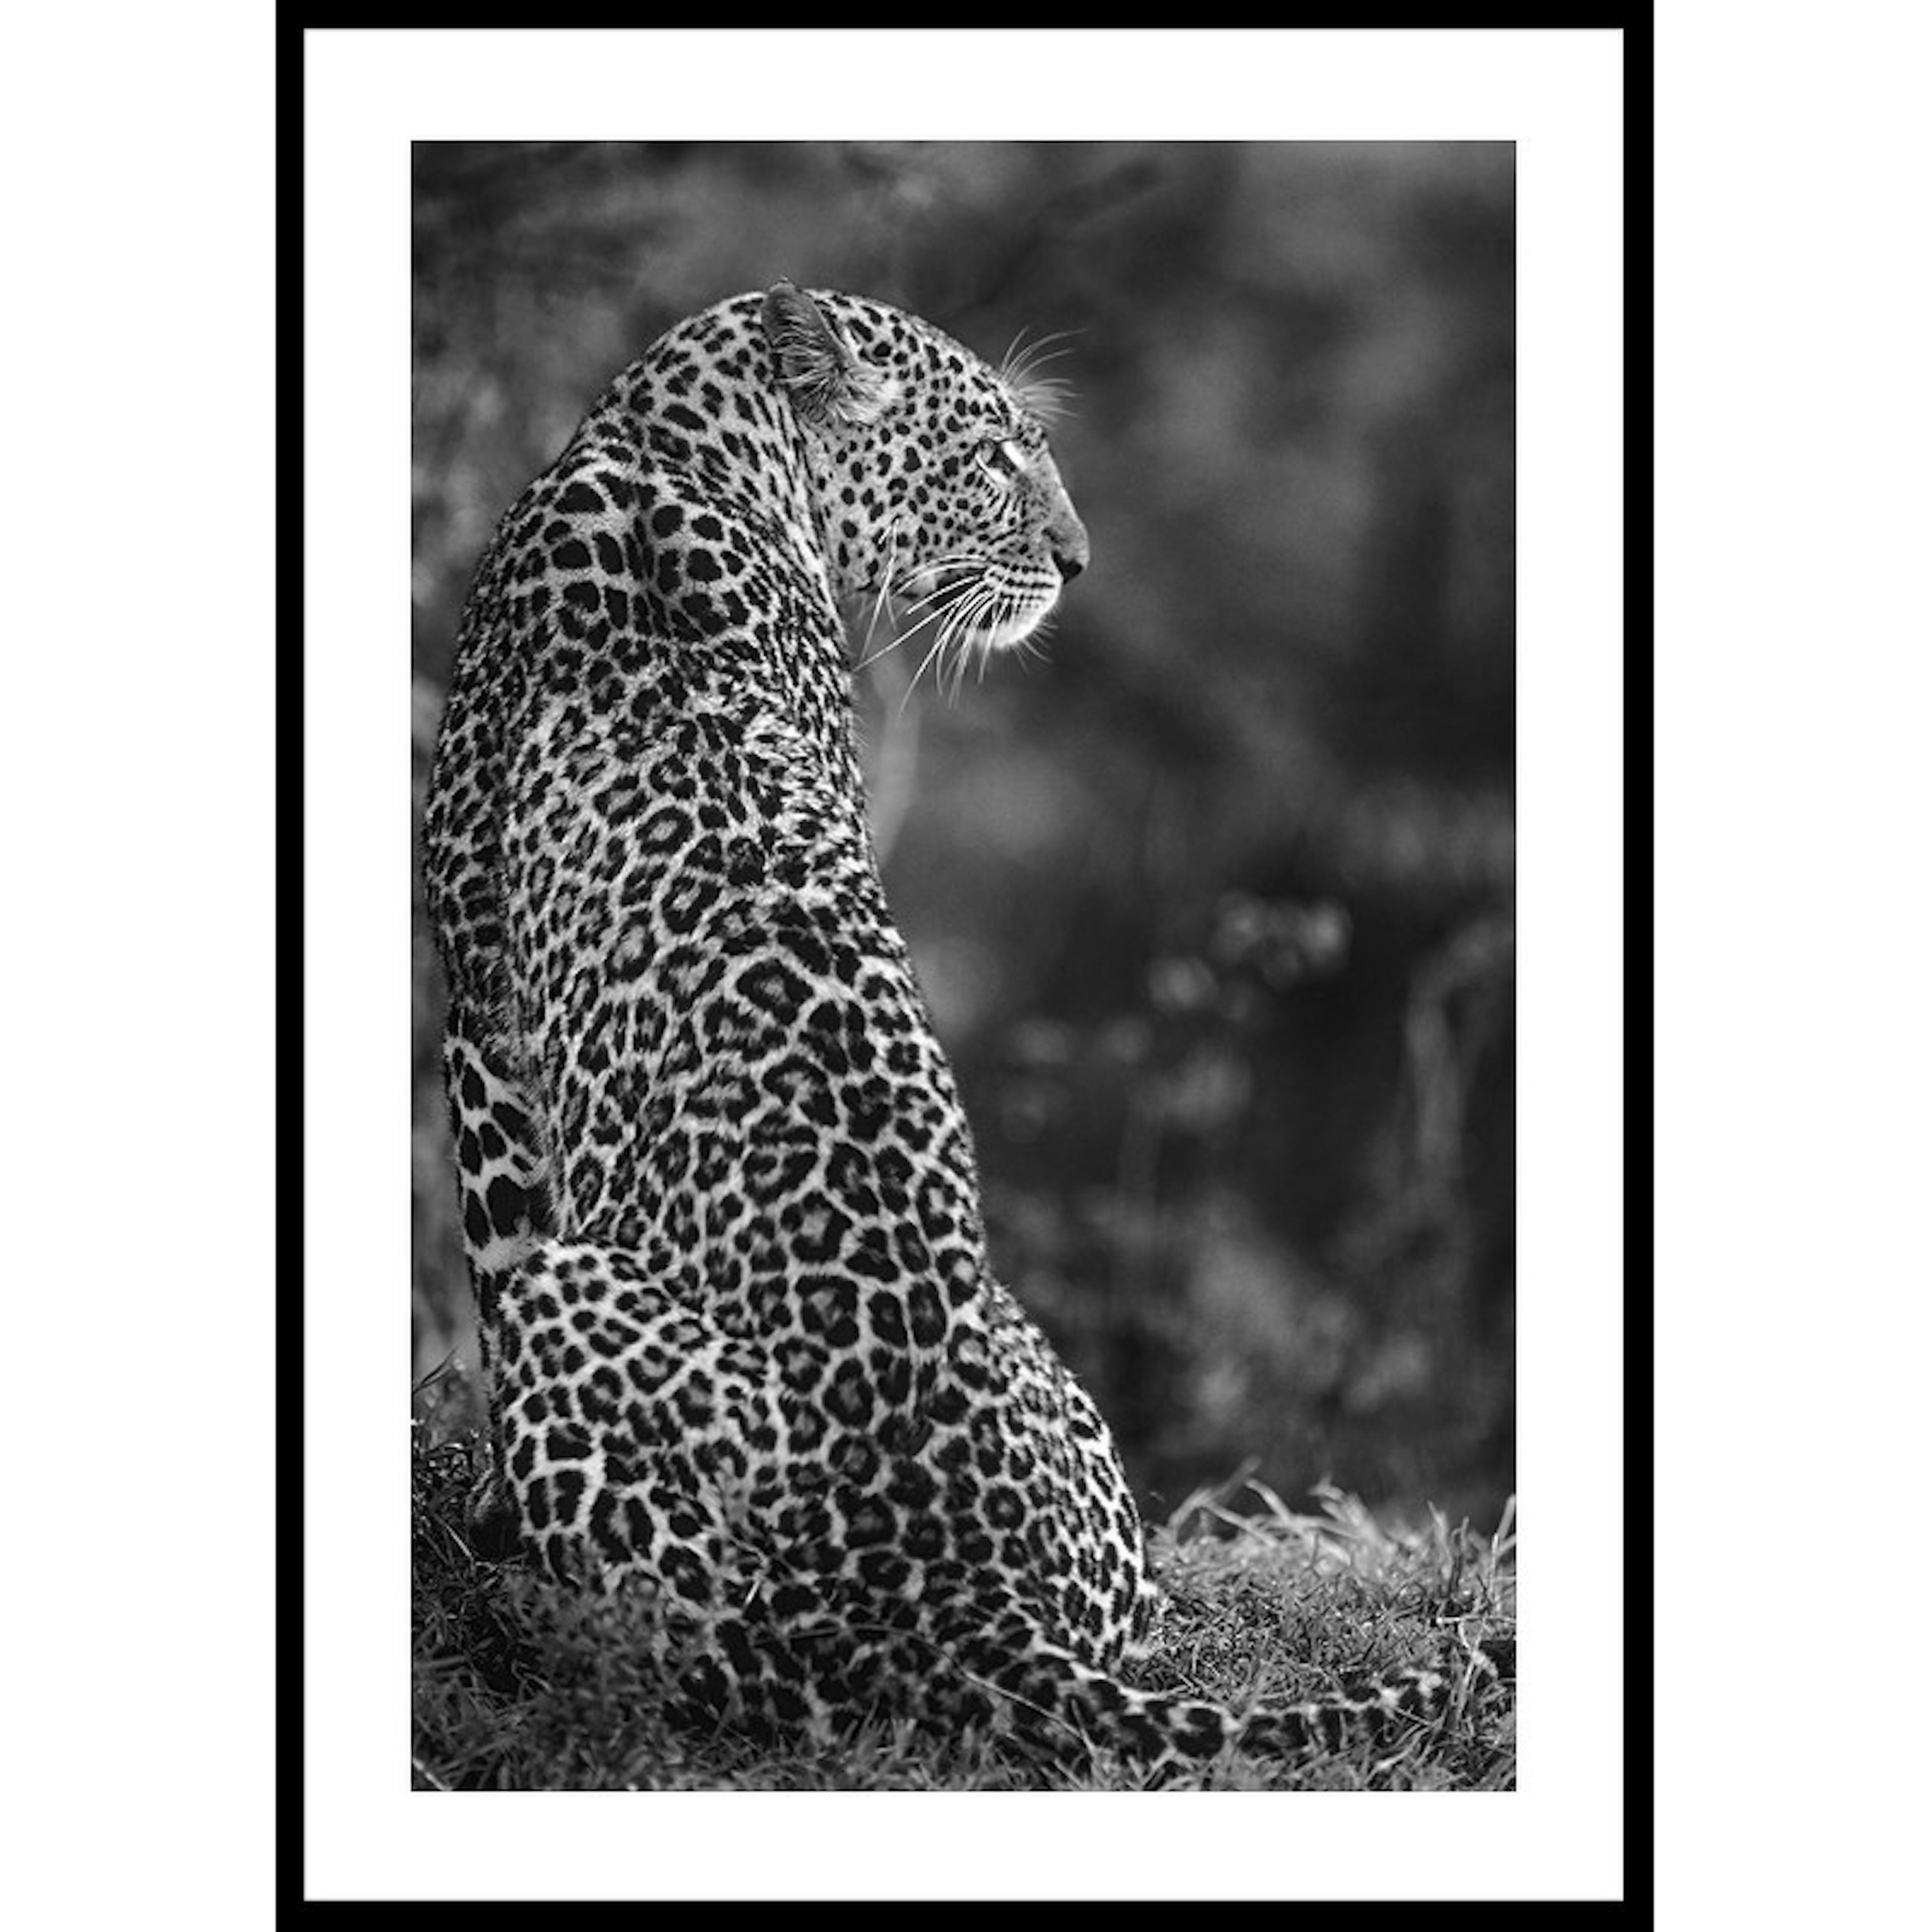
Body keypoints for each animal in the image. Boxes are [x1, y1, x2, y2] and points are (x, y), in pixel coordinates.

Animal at [421, 280, 1511, 1774]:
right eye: (995, 453)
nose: (1079, 561)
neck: (666, 444)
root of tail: (963, 1601)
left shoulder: (476, 995)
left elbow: (490, 1234)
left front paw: (480, 1512)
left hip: (594, 1330)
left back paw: (534, 1598)